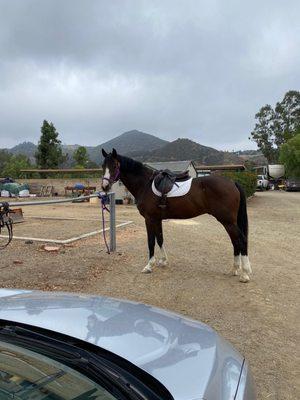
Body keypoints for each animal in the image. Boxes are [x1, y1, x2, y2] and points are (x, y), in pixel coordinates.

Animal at [102, 148, 252, 282]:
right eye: (103, 166)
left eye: (115, 166)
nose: (104, 187)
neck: (145, 184)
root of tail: (232, 182)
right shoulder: (157, 219)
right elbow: (160, 239)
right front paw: (163, 261)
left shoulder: (149, 219)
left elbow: (151, 241)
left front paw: (149, 266)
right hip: (230, 222)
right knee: (235, 241)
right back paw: (235, 269)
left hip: (227, 221)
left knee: (241, 240)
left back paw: (244, 274)